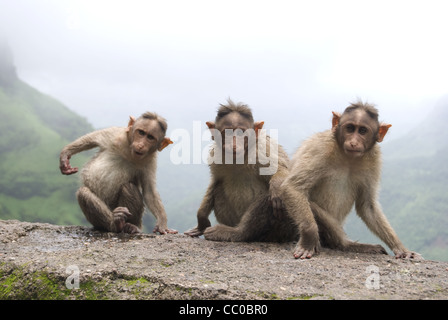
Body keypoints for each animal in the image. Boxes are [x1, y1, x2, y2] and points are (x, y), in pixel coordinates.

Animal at [184, 99, 316, 251]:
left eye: (241, 132)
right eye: (227, 133)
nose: (234, 144)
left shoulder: (263, 150)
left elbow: (284, 173)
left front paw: (276, 185)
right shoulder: (215, 156)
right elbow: (215, 181)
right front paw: (201, 222)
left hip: (280, 229)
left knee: (269, 198)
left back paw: (238, 233)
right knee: (218, 189)